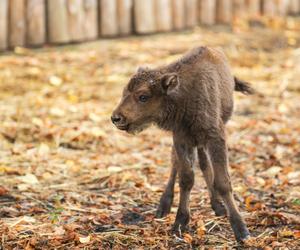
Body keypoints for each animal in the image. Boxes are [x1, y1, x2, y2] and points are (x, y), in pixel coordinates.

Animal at [111, 46, 254, 241]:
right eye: (124, 92)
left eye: (143, 96)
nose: (116, 118)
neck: (183, 95)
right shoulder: (180, 139)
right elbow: (186, 178)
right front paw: (179, 223)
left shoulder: (214, 138)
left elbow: (223, 182)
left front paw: (241, 231)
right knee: (177, 165)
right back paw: (163, 207)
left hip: (201, 141)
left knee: (203, 164)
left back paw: (217, 205)